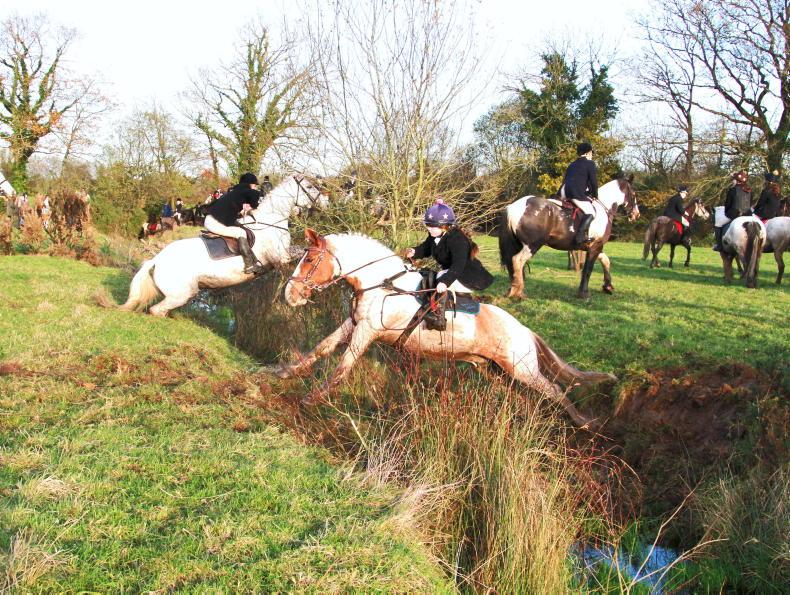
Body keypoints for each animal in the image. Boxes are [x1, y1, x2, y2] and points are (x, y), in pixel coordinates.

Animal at [120, 175, 328, 317]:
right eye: (309, 186)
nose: (326, 203)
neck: (272, 219)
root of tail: (156, 260)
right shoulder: (281, 257)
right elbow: (300, 253)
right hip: (181, 293)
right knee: (156, 310)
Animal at [274, 229, 617, 428]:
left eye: (309, 261)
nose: (290, 295)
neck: (380, 283)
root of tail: (525, 330)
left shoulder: (367, 331)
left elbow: (342, 367)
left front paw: (312, 399)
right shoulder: (354, 324)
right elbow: (322, 347)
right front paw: (286, 372)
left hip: (522, 368)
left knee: (555, 390)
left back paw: (583, 423)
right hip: (492, 369)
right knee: (522, 394)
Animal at [498, 177, 639, 299]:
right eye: (634, 193)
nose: (636, 214)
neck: (603, 207)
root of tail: (513, 207)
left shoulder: (595, 246)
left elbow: (605, 261)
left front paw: (608, 286)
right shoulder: (595, 246)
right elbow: (588, 270)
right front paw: (584, 293)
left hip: (519, 244)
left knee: (513, 265)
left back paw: (515, 290)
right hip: (532, 245)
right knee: (517, 260)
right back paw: (517, 292)